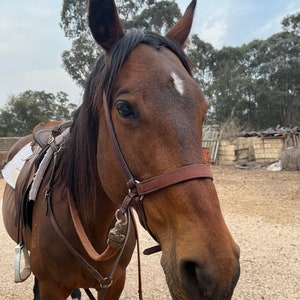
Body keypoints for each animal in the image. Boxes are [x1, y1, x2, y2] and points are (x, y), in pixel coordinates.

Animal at [1, 1, 239, 298]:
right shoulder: (50, 287)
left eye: (204, 109)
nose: (217, 269)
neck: (91, 227)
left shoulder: (115, 283)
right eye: (124, 108)